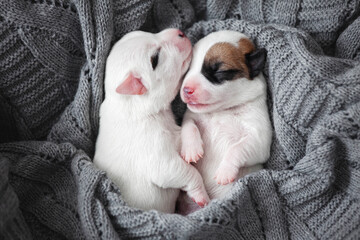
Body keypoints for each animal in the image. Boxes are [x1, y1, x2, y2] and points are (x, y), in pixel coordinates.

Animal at [94, 29, 210, 213]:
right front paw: (201, 195)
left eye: (148, 32)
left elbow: (186, 128)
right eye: (155, 59)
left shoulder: (173, 129)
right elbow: (186, 172)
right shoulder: (159, 159)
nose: (180, 32)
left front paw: (192, 148)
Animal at [179, 30, 272, 214]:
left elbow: (237, 148)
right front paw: (192, 149)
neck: (222, 110)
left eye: (219, 72)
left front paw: (225, 172)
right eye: (188, 69)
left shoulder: (259, 139)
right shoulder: (191, 116)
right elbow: (188, 126)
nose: (186, 90)